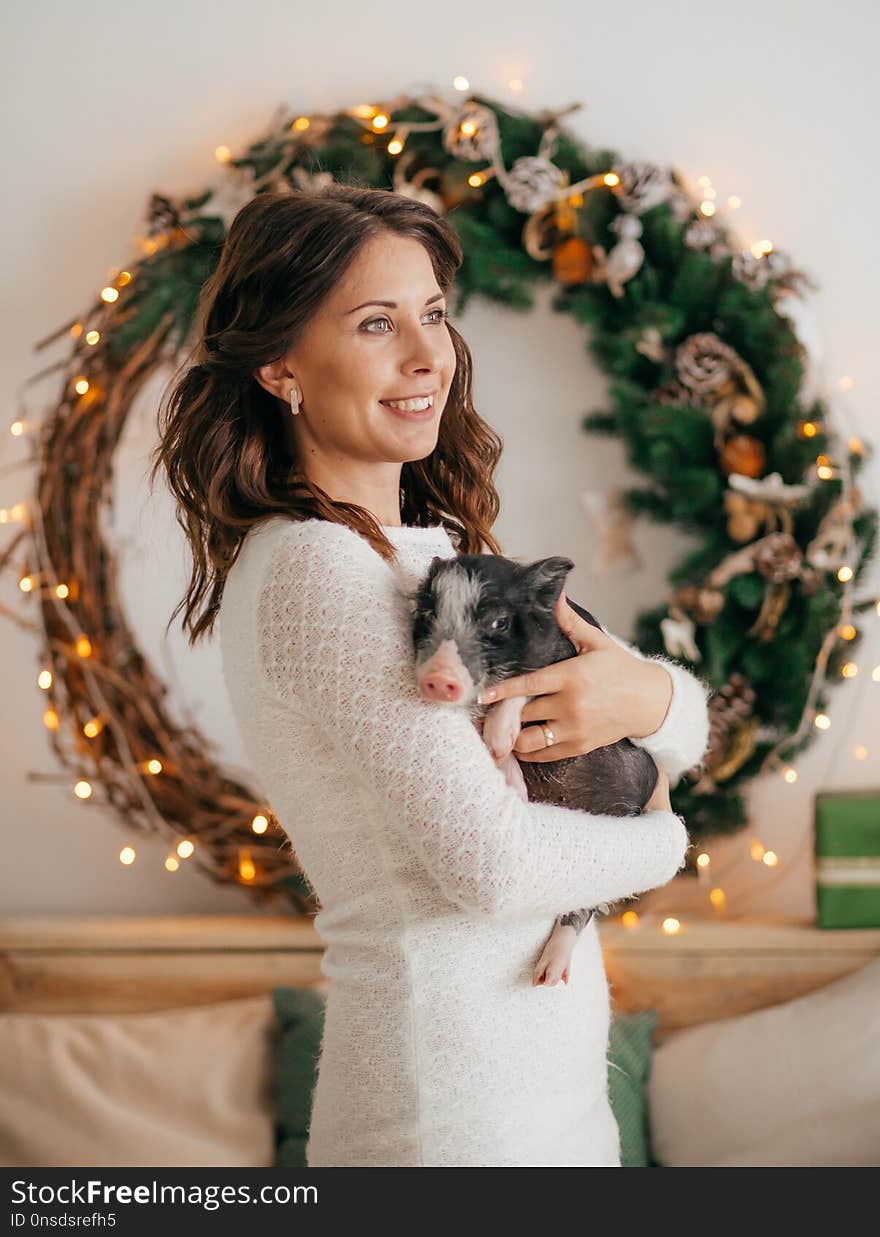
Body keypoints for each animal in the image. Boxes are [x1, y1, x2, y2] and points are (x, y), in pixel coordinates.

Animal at [405, 551, 663, 984]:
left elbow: (526, 687)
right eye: (427, 612)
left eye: (497, 622)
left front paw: (498, 739)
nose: (438, 679)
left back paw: (546, 977)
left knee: (581, 908)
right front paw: (510, 776)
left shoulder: (565, 658)